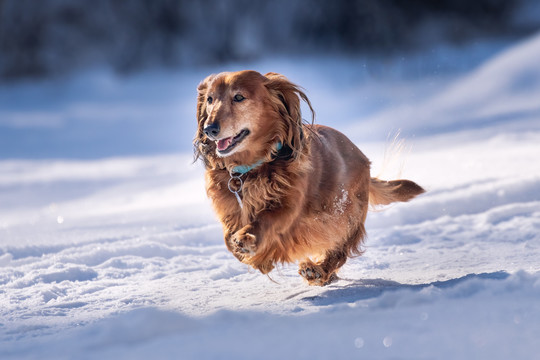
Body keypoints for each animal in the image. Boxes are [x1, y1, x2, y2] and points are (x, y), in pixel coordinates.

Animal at [192, 69, 424, 284]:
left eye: (239, 97)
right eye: (210, 99)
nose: (209, 129)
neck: (251, 169)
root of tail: (362, 156)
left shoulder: (289, 208)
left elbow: (266, 220)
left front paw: (248, 240)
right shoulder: (230, 211)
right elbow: (227, 239)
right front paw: (258, 259)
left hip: (346, 215)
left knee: (339, 250)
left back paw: (318, 270)